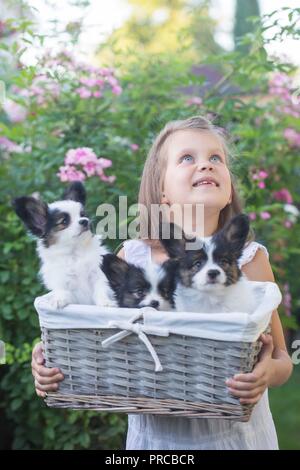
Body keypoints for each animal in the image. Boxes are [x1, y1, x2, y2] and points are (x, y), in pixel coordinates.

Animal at [12, 182, 116, 310]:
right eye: (64, 222)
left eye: (83, 215)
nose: (85, 221)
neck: (75, 253)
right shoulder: (63, 282)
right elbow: (64, 292)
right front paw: (59, 300)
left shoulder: (98, 275)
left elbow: (101, 290)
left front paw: (106, 302)